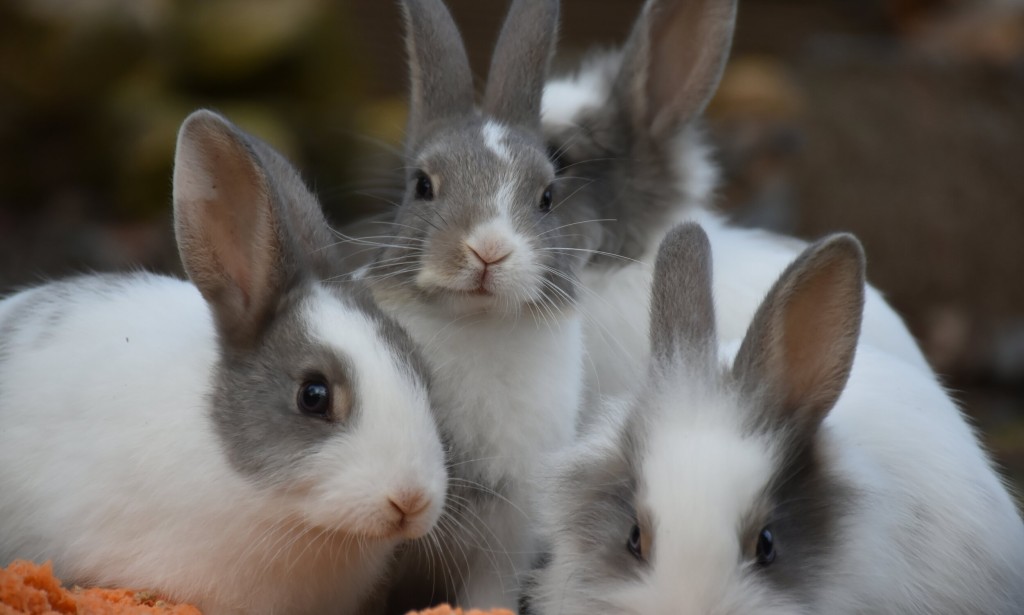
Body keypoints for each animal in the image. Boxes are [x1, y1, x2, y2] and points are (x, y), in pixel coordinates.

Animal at [344, 0, 585, 611]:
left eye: (547, 197)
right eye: (422, 186)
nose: (488, 249)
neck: (478, 322)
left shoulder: (507, 535)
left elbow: (488, 592)